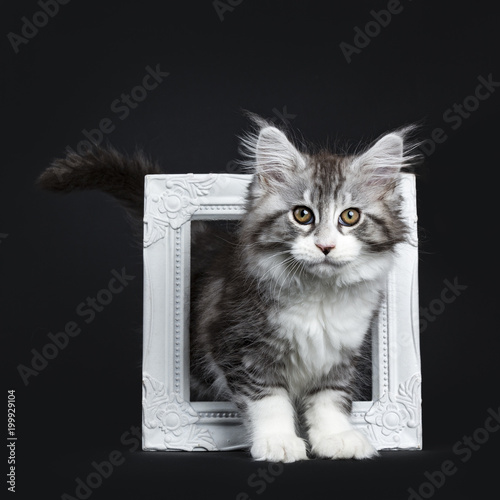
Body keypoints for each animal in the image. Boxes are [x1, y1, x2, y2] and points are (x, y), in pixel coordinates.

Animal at [37, 119, 416, 462]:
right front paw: (278, 442)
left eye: (350, 217)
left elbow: (330, 398)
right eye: (302, 215)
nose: (325, 246)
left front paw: (336, 437)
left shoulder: (341, 353)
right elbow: (269, 399)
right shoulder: (241, 345)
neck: (318, 295)